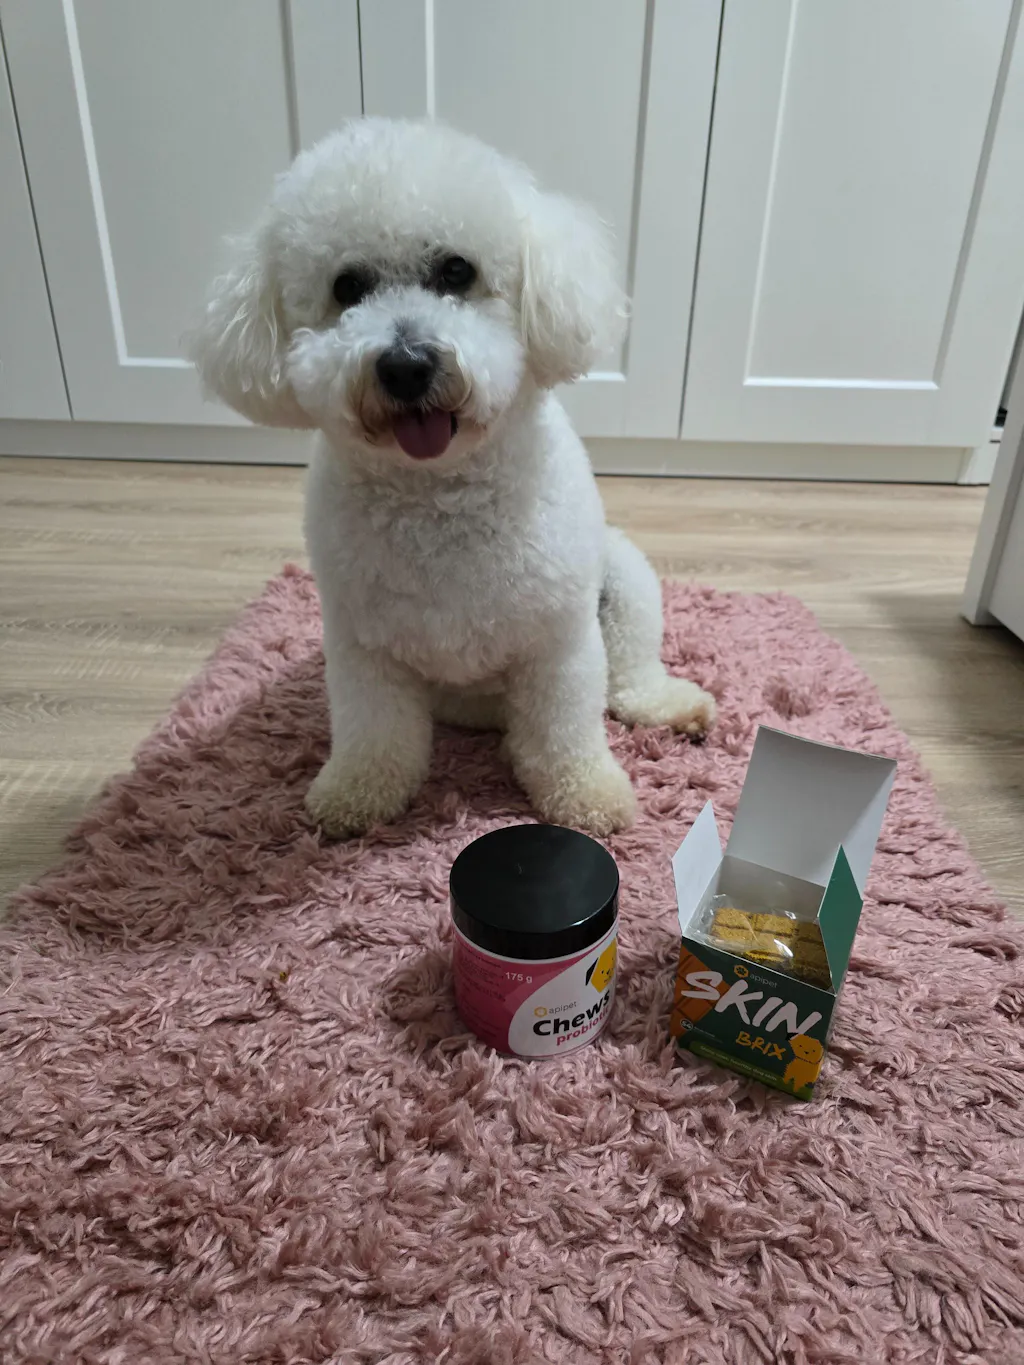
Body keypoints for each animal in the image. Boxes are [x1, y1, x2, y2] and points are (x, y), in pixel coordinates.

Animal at [190, 118, 715, 837]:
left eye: (457, 270)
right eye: (347, 287)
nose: (406, 365)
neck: (438, 492)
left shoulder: (559, 643)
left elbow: (565, 734)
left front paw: (588, 795)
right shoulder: (362, 647)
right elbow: (374, 733)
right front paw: (355, 794)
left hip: (625, 582)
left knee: (627, 677)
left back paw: (671, 706)